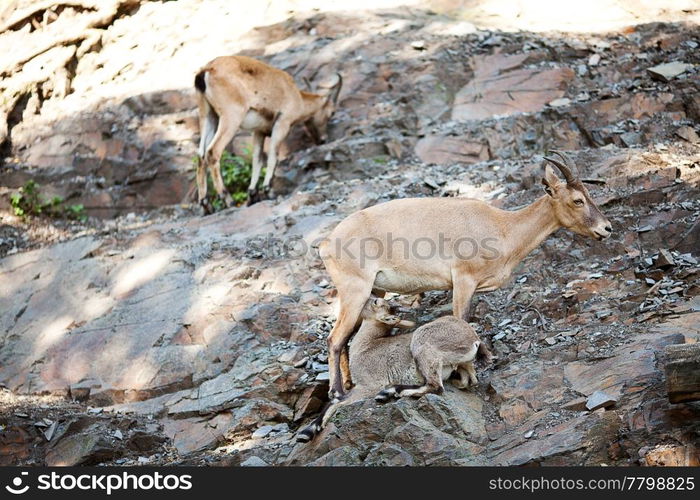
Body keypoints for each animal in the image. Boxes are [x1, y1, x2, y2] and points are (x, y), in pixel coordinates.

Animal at [194, 56, 342, 211]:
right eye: (332, 112)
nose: (323, 140)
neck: (297, 97)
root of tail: (206, 71)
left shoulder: (258, 132)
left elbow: (257, 160)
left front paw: (253, 195)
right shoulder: (282, 124)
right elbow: (273, 156)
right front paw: (269, 191)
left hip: (208, 115)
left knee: (201, 154)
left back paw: (205, 205)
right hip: (231, 117)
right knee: (212, 151)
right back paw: (229, 200)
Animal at [322, 152, 612, 398]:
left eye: (589, 194)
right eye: (577, 200)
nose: (606, 228)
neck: (502, 228)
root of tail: (327, 244)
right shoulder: (463, 279)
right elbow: (463, 318)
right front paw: (479, 361)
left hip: (373, 291)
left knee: (346, 337)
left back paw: (348, 383)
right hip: (355, 289)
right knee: (335, 338)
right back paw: (336, 391)